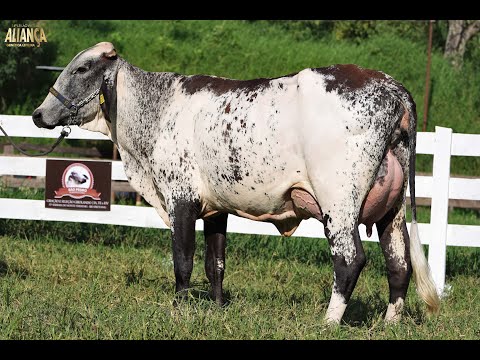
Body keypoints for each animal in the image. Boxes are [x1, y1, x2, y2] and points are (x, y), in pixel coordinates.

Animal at [32, 41, 438, 324]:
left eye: (82, 67)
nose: (38, 113)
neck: (158, 110)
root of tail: (391, 86)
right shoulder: (216, 208)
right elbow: (216, 263)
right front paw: (216, 308)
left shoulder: (181, 199)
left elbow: (183, 261)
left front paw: (179, 309)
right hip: (392, 212)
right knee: (398, 264)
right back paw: (387, 324)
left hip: (339, 203)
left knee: (350, 260)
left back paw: (328, 321)